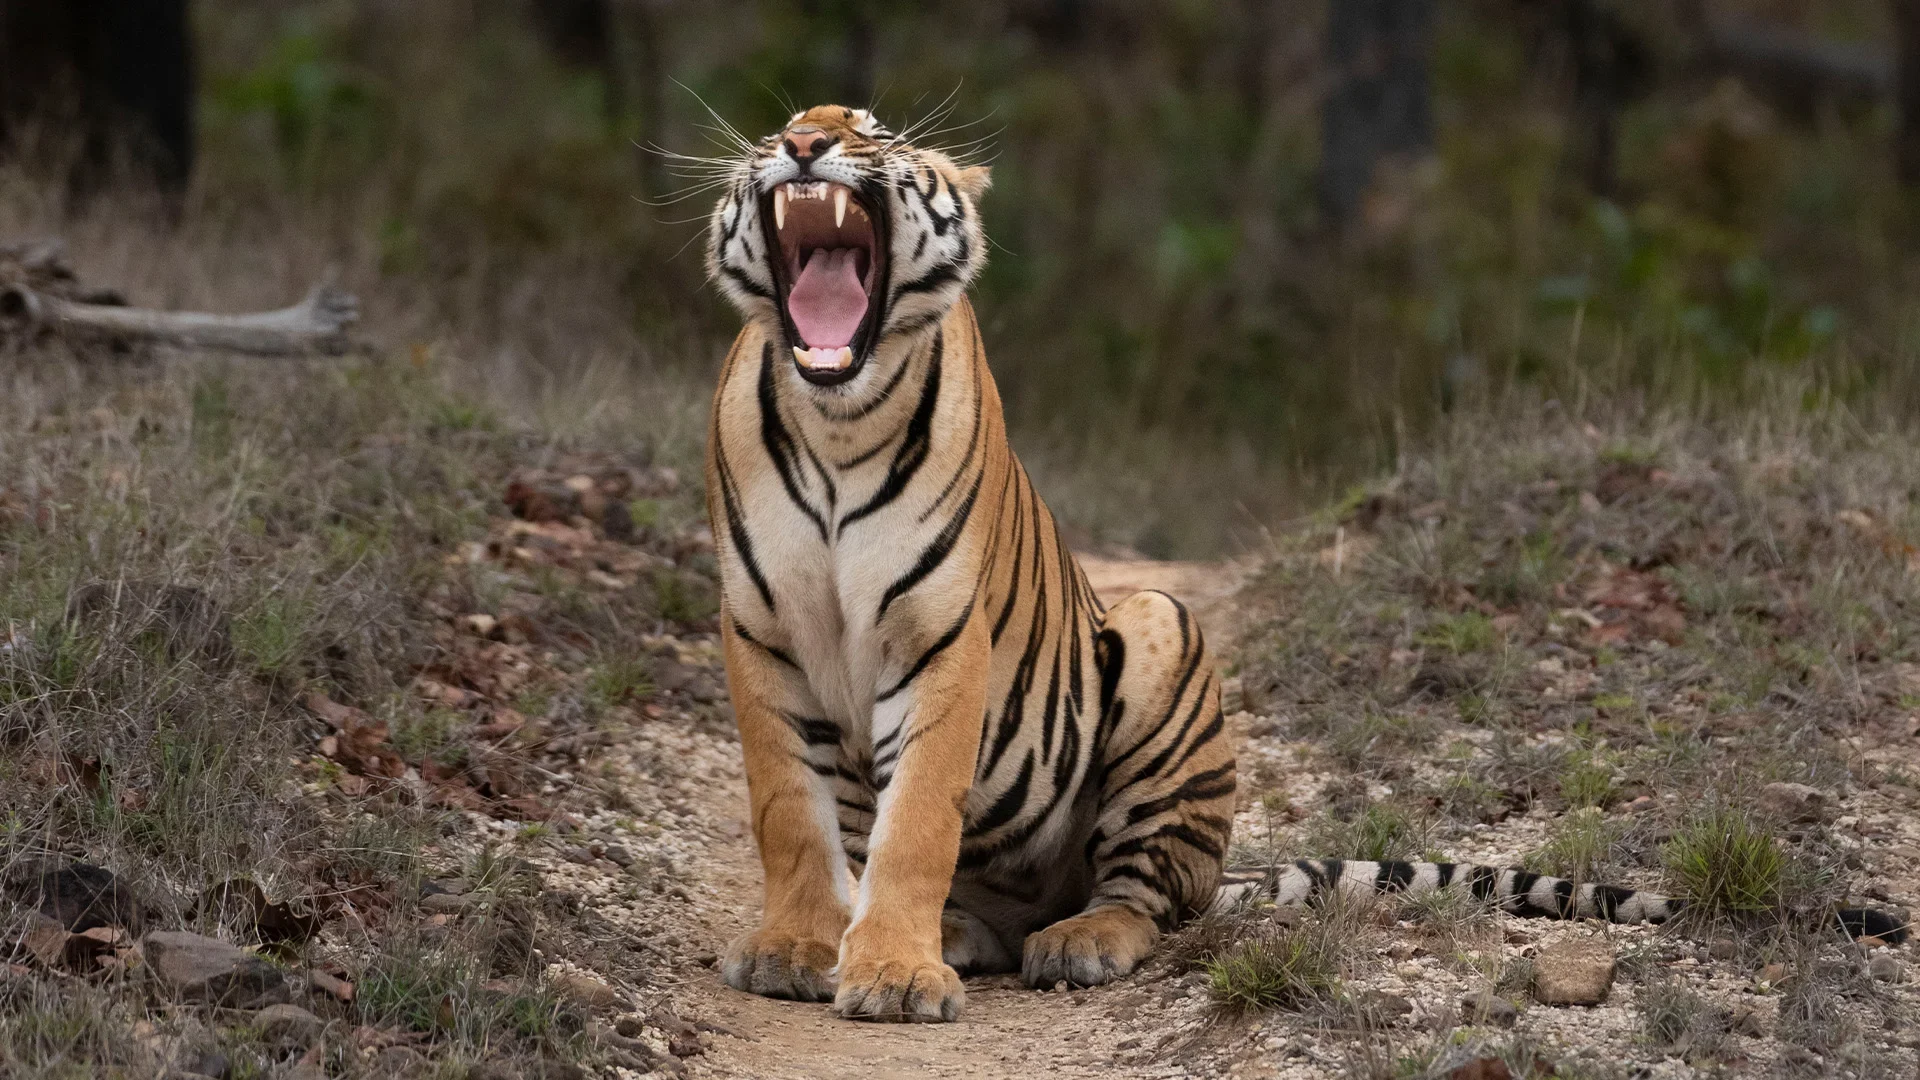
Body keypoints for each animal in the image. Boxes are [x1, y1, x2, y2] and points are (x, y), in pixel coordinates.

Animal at [700, 105, 1907, 1024]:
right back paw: (953, 931)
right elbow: (791, 814)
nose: (803, 145)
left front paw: (894, 976)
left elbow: (915, 824)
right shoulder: (760, 635)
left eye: (873, 135)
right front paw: (800, 951)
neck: (840, 419)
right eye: (775, 130)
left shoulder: (942, 638)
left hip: (1161, 638)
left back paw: (1071, 938)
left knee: (1146, 898)